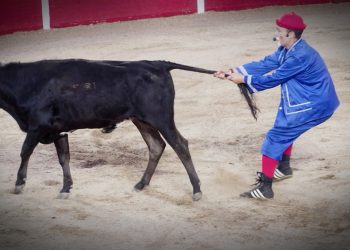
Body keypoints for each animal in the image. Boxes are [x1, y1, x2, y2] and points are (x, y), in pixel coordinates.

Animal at [0, 59, 258, 200]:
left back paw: (196, 189)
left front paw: (19, 184)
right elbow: (64, 158)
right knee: (156, 146)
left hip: (161, 118)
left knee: (180, 145)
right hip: (141, 120)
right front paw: (65, 188)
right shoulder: (58, 130)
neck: (27, 83)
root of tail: (157, 64)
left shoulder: (37, 126)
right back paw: (142, 184)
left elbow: (25, 151)